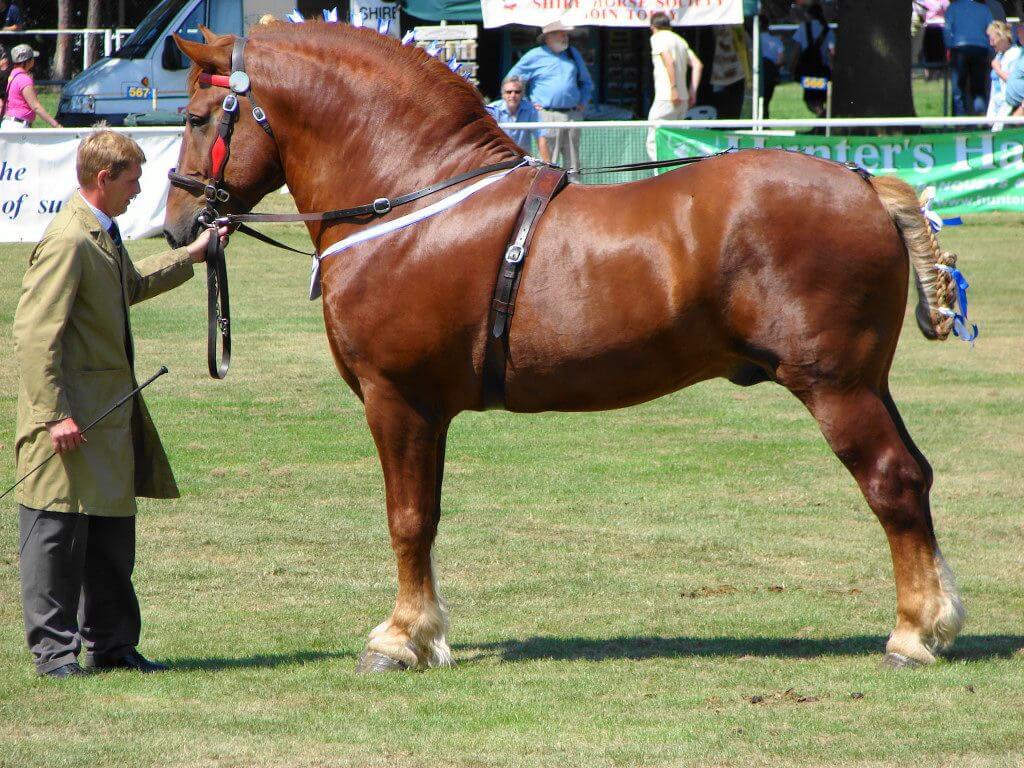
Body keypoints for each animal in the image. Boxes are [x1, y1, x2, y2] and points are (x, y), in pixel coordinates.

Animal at [163, 22, 962, 671]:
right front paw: (426, 633)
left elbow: (407, 520)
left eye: (199, 117)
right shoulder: (430, 413)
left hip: (836, 387)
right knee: (917, 477)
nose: (175, 223)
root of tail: (866, 186)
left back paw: (912, 635)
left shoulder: (398, 400)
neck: (415, 200)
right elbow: (428, 515)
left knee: (891, 481)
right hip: (868, 383)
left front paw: (400, 638)